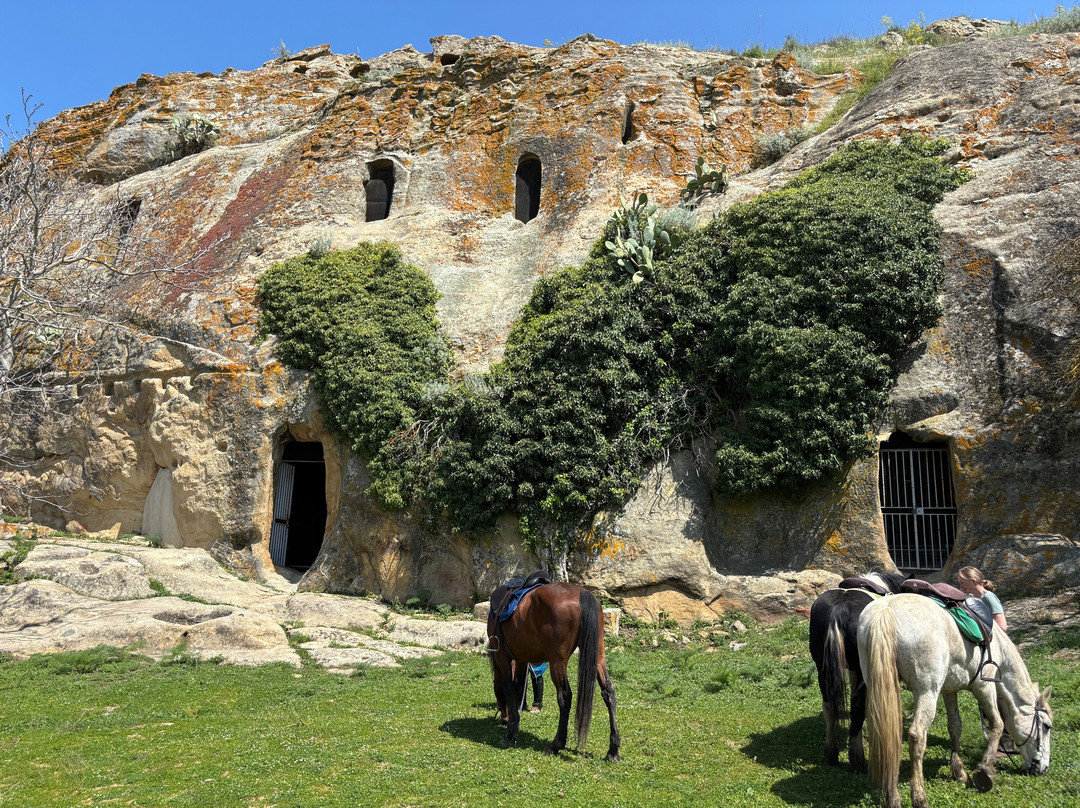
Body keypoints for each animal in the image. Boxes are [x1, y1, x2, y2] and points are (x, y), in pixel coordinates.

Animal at [486, 581, 621, 761]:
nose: (503, 719)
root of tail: (582, 593)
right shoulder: (522, 658)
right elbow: (519, 688)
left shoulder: (502, 656)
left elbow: (509, 688)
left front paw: (510, 734)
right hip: (598, 656)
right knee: (608, 692)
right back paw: (613, 749)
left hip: (557, 661)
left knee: (565, 696)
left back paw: (556, 744)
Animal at [808, 570, 908, 771]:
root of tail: (839, 608)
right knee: (856, 708)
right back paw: (858, 760)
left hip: (822, 670)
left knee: (829, 707)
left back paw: (831, 754)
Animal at [858, 593, 1052, 808]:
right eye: (1046, 726)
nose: (1043, 768)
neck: (999, 648)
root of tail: (886, 610)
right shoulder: (984, 687)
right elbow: (997, 725)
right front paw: (985, 771)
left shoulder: (949, 690)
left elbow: (955, 727)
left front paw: (959, 771)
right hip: (927, 692)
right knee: (917, 736)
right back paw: (918, 797)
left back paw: (891, 796)